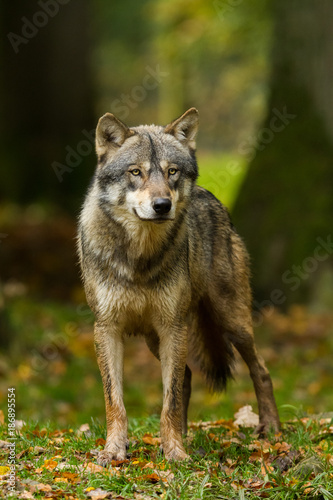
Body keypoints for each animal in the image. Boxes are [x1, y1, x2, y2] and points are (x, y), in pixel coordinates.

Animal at [76, 106, 278, 464]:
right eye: (136, 172)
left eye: (172, 172)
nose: (162, 205)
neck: (139, 258)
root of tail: (212, 197)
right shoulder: (107, 329)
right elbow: (115, 400)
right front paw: (114, 450)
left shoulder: (173, 326)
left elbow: (168, 399)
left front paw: (176, 454)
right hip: (155, 339)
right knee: (186, 377)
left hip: (230, 322)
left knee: (261, 370)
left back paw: (271, 430)